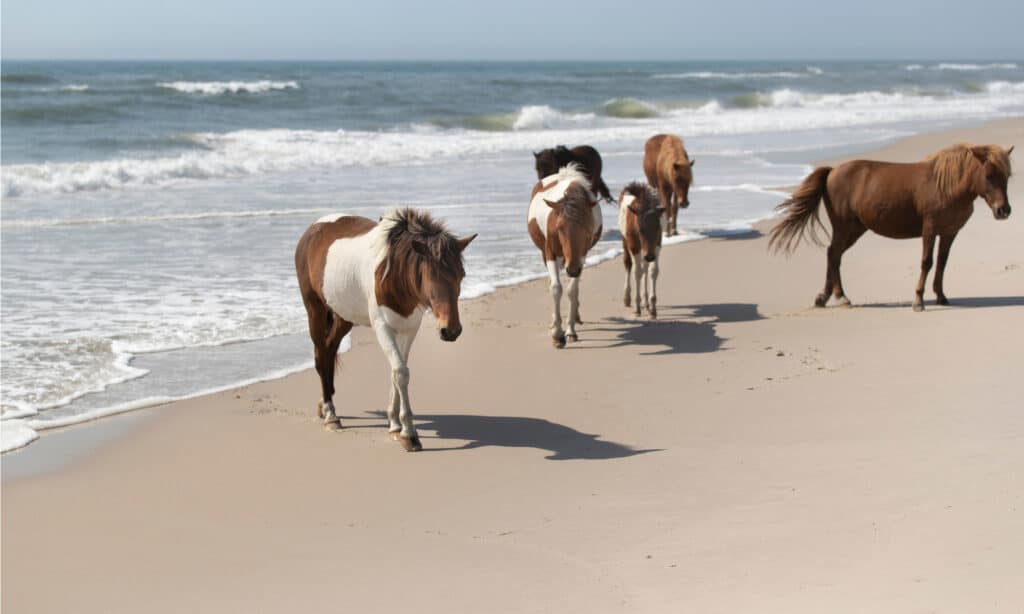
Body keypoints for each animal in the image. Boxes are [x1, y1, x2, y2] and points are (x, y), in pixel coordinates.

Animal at [292, 208, 475, 452]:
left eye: (461, 275)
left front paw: (395, 425)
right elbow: (401, 373)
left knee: (329, 351)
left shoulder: (409, 329)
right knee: (322, 356)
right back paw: (331, 415)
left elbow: (396, 372)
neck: (395, 274)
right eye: (431, 276)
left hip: (344, 316)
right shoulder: (383, 327)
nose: (451, 330)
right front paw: (409, 434)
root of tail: (312, 229)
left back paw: (324, 404)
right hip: (315, 308)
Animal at [528, 160, 598, 347]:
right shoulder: (550, 253)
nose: (572, 269)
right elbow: (556, 288)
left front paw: (570, 331)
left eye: (588, 227)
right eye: (559, 227)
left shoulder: (581, 257)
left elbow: (572, 291)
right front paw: (557, 334)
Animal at [618, 181, 667, 317]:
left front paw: (652, 307)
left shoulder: (656, 245)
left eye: (658, 228)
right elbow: (637, 272)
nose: (649, 256)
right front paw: (637, 307)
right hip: (625, 242)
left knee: (645, 267)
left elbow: (653, 271)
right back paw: (627, 298)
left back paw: (646, 302)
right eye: (640, 230)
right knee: (628, 264)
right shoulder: (634, 246)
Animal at [770, 141, 1011, 309]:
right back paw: (840, 297)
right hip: (844, 227)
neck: (946, 186)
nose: (1003, 210)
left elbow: (942, 263)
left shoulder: (949, 232)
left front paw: (941, 296)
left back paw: (825, 297)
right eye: (989, 176)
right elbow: (927, 262)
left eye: (1007, 176)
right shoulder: (930, 229)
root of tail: (833, 171)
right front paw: (918, 301)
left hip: (855, 229)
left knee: (833, 254)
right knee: (834, 254)